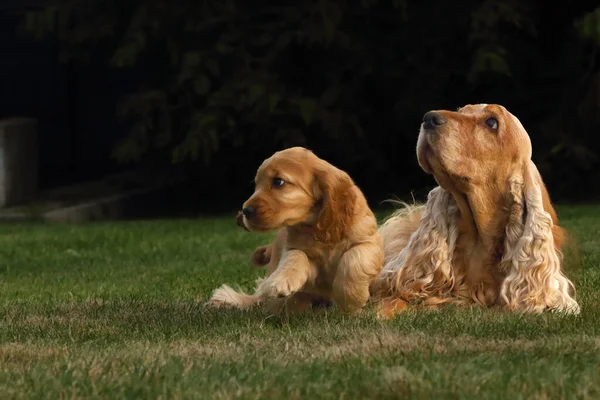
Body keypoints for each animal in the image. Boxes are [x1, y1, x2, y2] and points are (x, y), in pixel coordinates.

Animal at [206, 145, 384, 314]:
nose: (245, 211)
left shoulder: (369, 243)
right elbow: (296, 256)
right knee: (261, 298)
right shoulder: (299, 253)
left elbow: (354, 257)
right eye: (256, 185)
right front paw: (280, 281)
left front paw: (351, 300)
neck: (315, 225)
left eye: (278, 182)